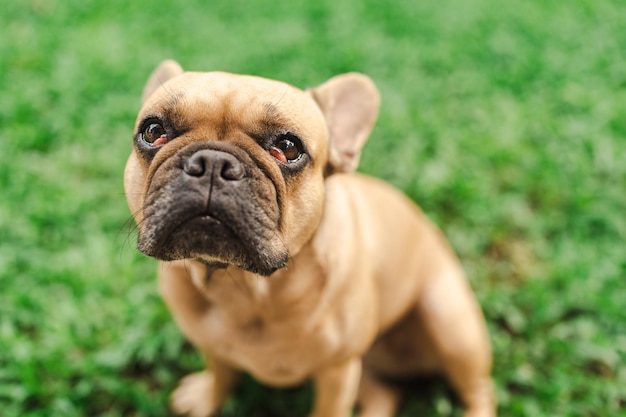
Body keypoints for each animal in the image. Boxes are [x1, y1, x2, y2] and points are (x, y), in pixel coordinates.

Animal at [124, 59, 494, 416]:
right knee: (385, 395)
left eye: (288, 148)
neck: (244, 288)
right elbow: (220, 373)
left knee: (479, 391)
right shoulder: (213, 346)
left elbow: (327, 410)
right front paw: (207, 398)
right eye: (153, 131)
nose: (213, 163)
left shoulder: (338, 372)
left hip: (452, 327)